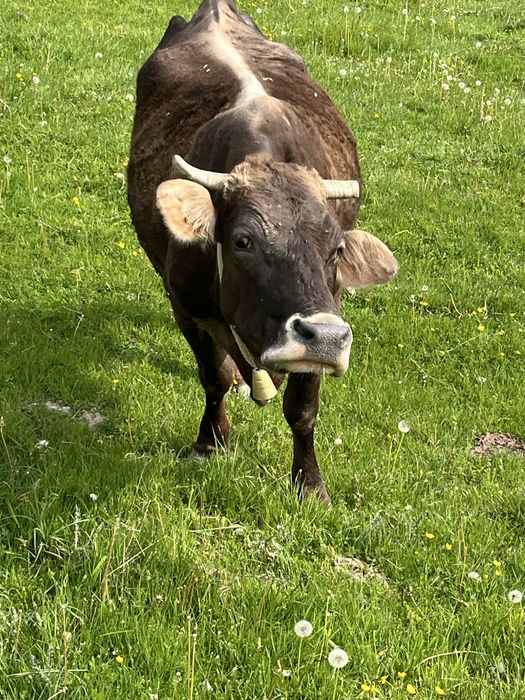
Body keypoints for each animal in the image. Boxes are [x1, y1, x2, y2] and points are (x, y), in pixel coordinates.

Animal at [127, 0, 398, 503]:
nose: (325, 338)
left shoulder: (323, 312)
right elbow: (213, 377)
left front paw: (309, 484)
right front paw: (210, 442)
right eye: (243, 241)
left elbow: (303, 408)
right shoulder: (185, 308)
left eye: (335, 249)